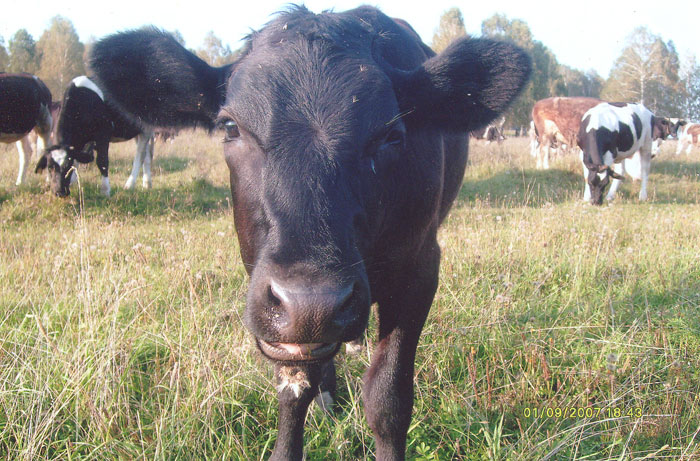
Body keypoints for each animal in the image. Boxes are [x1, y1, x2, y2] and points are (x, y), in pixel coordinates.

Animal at [89, 5, 532, 458]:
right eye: (230, 127)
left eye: (392, 136)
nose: (311, 304)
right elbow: (294, 389)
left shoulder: (421, 266)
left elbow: (388, 399)